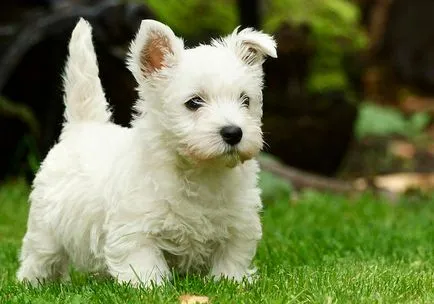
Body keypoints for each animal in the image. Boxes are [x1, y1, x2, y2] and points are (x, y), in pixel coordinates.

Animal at [17, 17, 276, 286]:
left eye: (245, 100)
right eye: (194, 102)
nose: (234, 133)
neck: (200, 172)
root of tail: (83, 126)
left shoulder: (238, 226)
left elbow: (231, 260)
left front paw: (231, 282)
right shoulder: (136, 229)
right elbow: (144, 265)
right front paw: (150, 287)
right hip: (45, 229)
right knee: (39, 256)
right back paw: (32, 283)